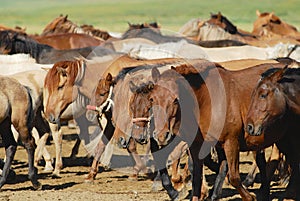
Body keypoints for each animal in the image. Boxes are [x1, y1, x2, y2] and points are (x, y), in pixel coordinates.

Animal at [129, 61, 288, 201]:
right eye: (152, 99)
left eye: (175, 99)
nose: (162, 135)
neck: (206, 102)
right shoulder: (196, 145)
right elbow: (196, 176)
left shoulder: (231, 142)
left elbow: (234, 177)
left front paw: (249, 196)